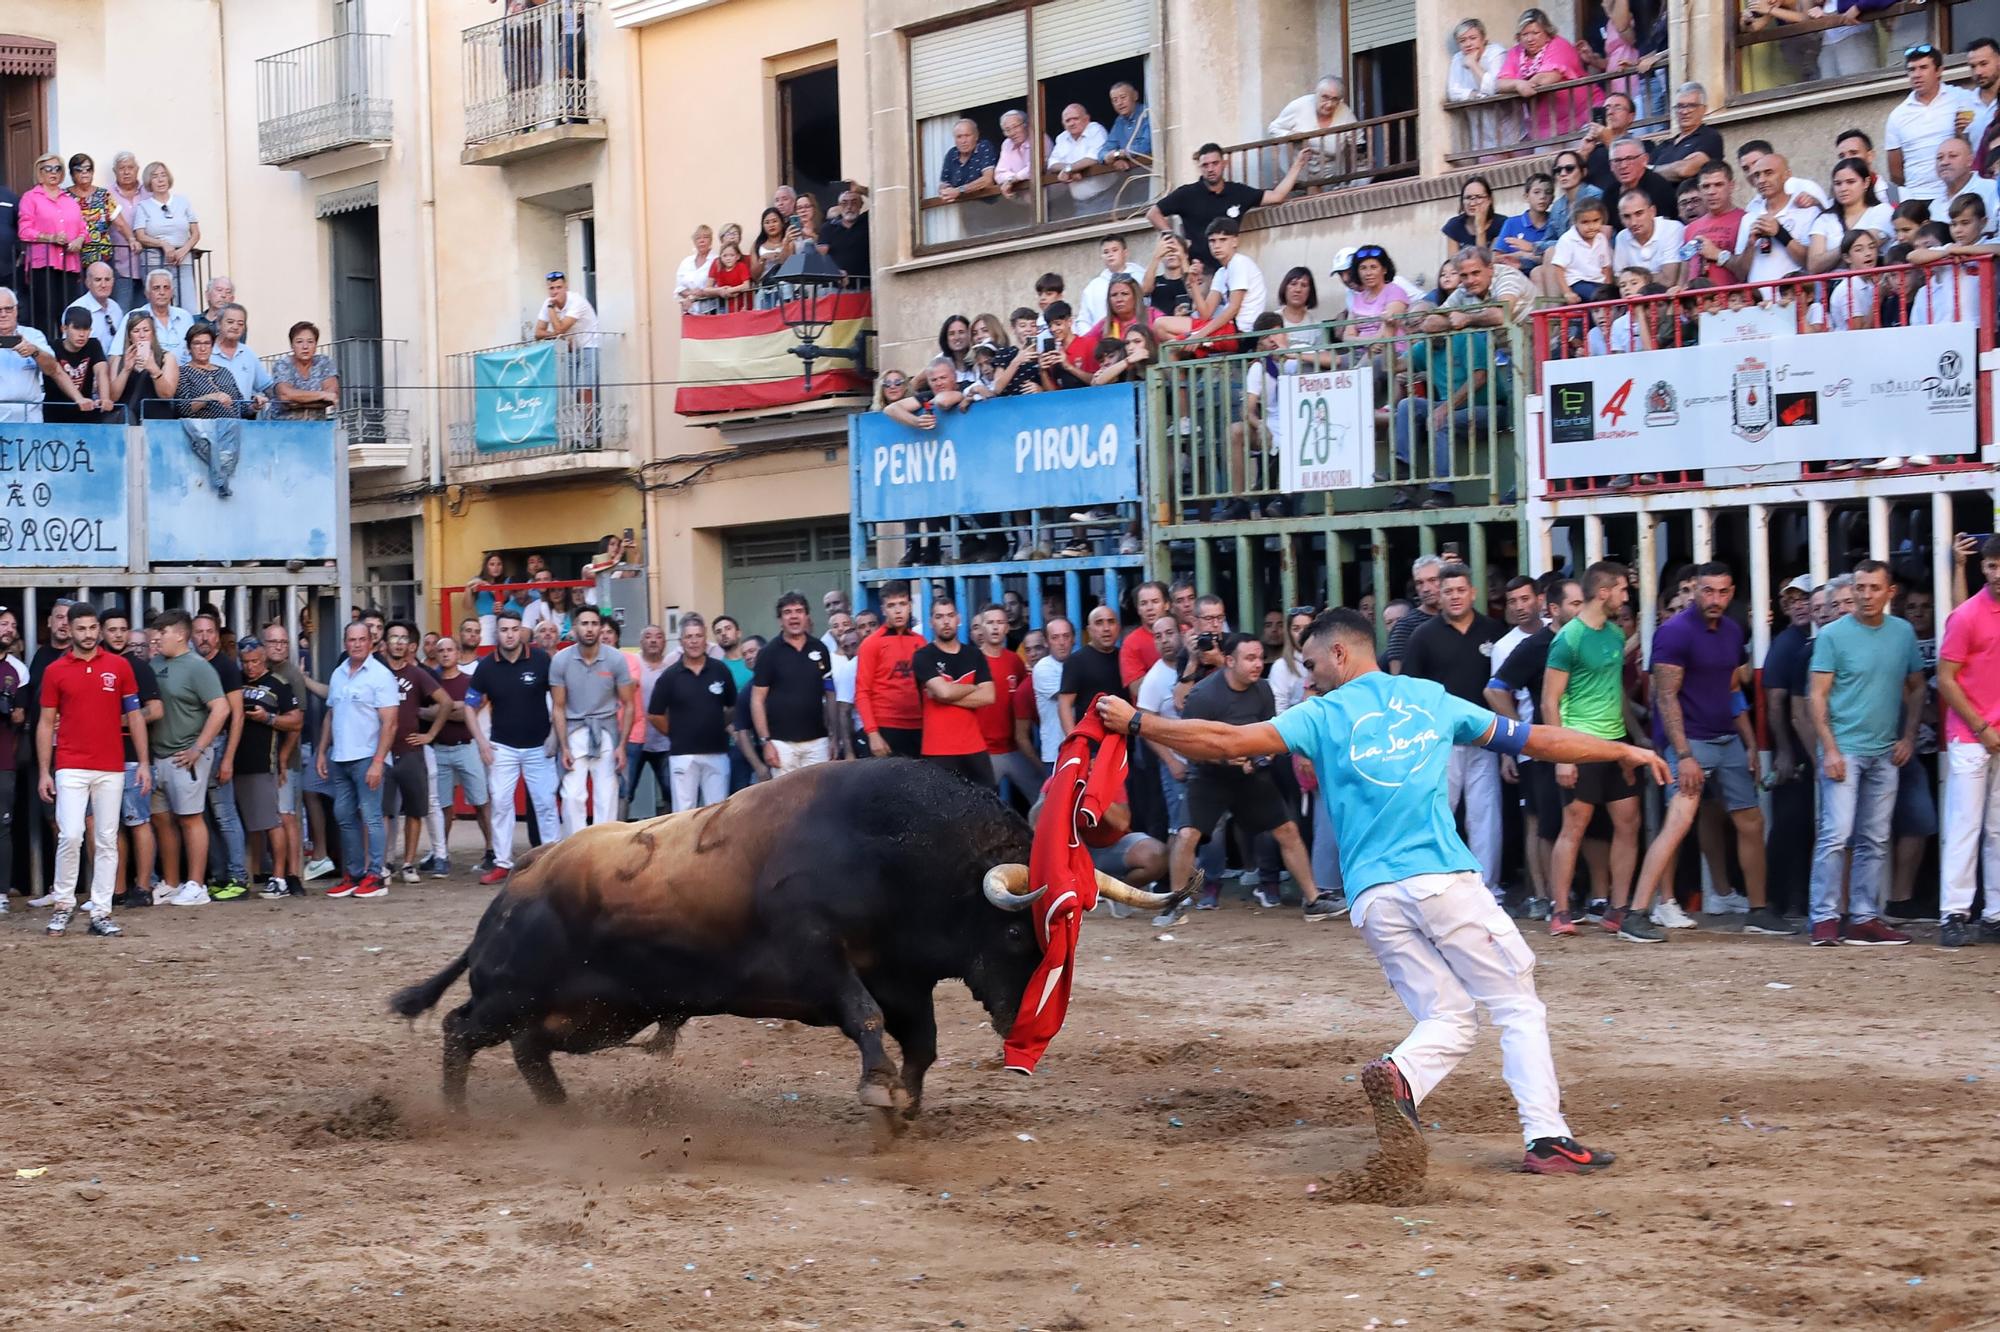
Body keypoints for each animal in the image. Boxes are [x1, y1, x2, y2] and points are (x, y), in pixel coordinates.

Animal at [388, 764, 1176, 1128]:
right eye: (1016, 930)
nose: (1026, 1024)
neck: (893, 851)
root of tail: (513, 886)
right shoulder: (819, 961)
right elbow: (864, 1018)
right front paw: (877, 1088)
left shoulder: (904, 979)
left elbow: (920, 1045)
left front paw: (903, 1108)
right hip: (513, 992)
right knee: (460, 1028)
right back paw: (457, 1116)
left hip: (596, 1014)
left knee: (529, 1049)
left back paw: (561, 1113)